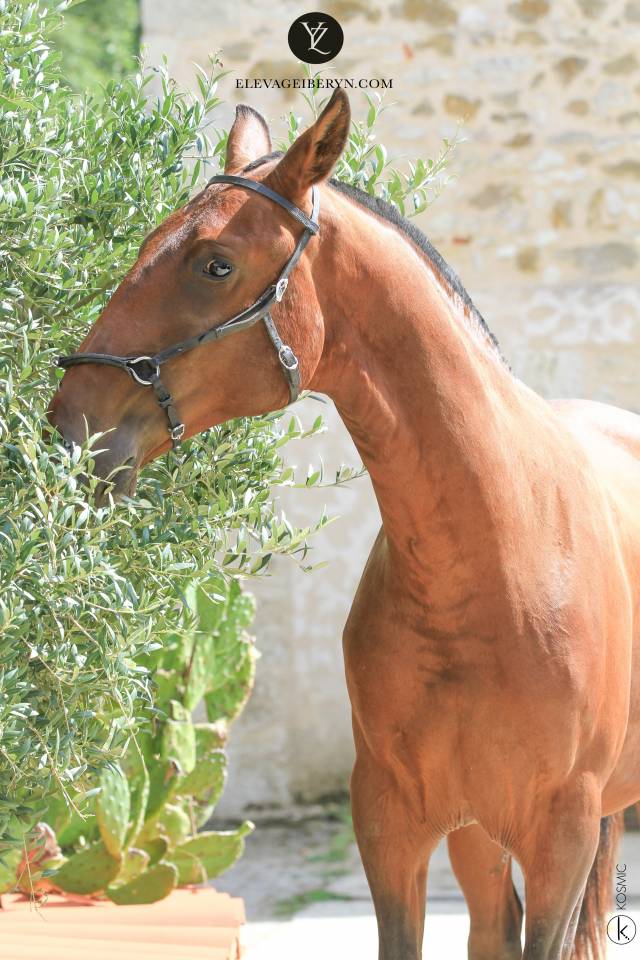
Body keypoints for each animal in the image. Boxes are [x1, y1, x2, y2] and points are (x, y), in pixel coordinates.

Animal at [48, 89, 640, 959]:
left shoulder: (560, 838)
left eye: (215, 263)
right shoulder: (392, 826)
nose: (70, 431)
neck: (497, 560)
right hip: (479, 839)